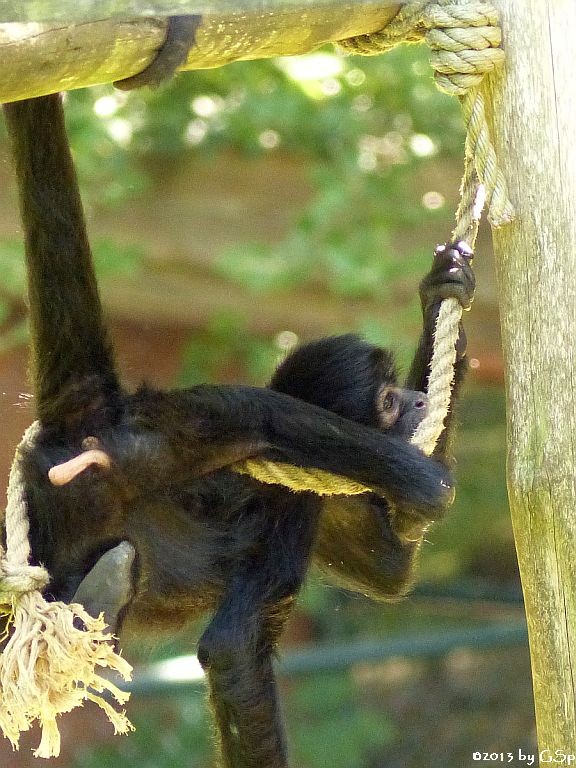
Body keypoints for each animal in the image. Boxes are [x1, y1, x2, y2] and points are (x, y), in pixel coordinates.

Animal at [1, 85, 472, 768]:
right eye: (388, 400)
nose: (414, 401)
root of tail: (93, 412)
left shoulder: (329, 501)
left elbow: (385, 571)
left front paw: (444, 293)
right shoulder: (295, 498)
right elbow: (233, 651)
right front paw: (422, 482)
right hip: (143, 456)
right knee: (244, 412)